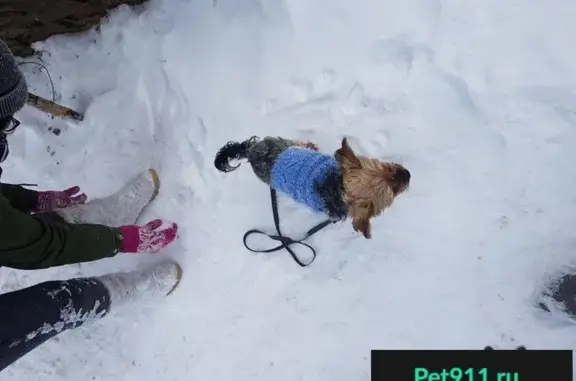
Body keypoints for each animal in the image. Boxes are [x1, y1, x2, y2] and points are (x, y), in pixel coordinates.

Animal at [215, 136, 410, 238]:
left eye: (388, 168)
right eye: (392, 192)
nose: (408, 174)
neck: (336, 185)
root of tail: (251, 148)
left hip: (285, 143)